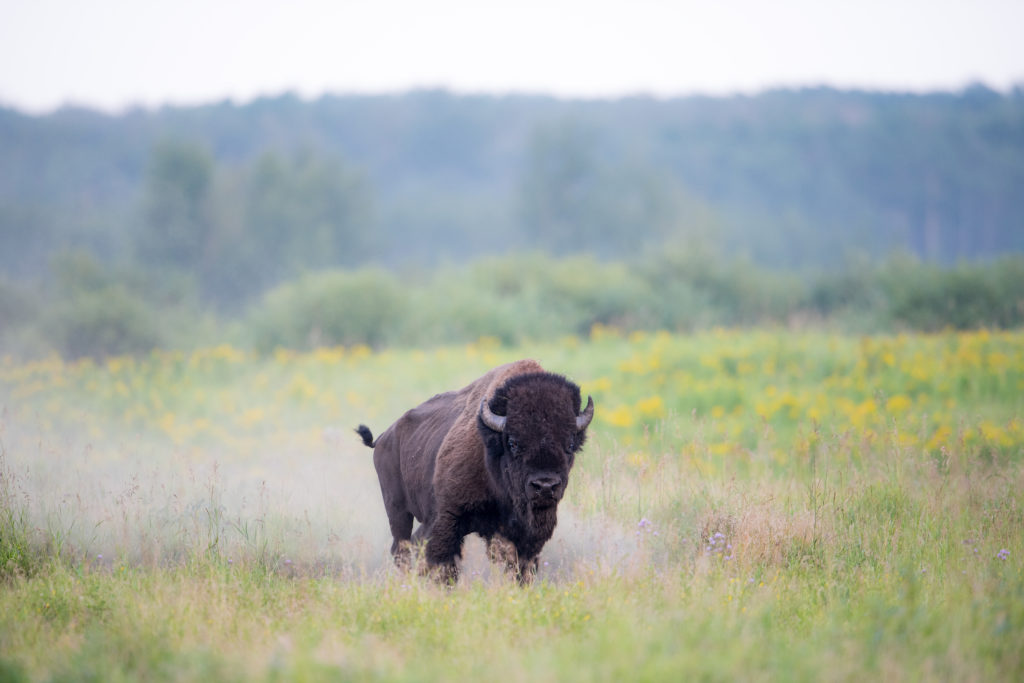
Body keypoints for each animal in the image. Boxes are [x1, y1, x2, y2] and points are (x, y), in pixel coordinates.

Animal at [354, 358, 593, 581]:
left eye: (570, 444)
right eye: (513, 442)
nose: (545, 486)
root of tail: (384, 436)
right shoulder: (447, 517)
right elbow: (443, 561)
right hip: (397, 508)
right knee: (401, 547)